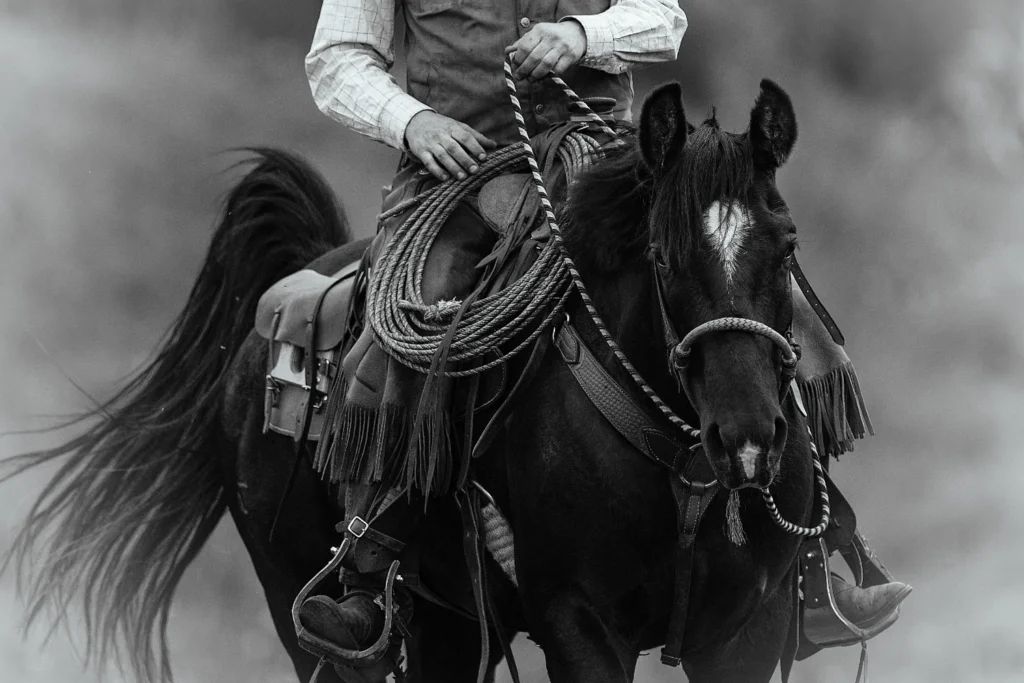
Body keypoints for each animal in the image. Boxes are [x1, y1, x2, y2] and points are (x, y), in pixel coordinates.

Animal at [3, 79, 818, 683]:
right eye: (661, 255)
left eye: (786, 245)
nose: (747, 438)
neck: (681, 476)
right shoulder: (581, 625)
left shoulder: (749, 631)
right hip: (294, 592)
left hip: (447, 622)